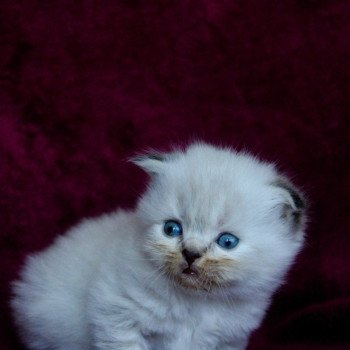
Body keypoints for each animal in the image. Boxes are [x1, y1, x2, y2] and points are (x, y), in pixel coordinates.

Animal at [10, 142, 306, 350]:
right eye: (172, 229)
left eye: (227, 242)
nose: (191, 253)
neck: (196, 303)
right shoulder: (117, 318)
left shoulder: (227, 340)